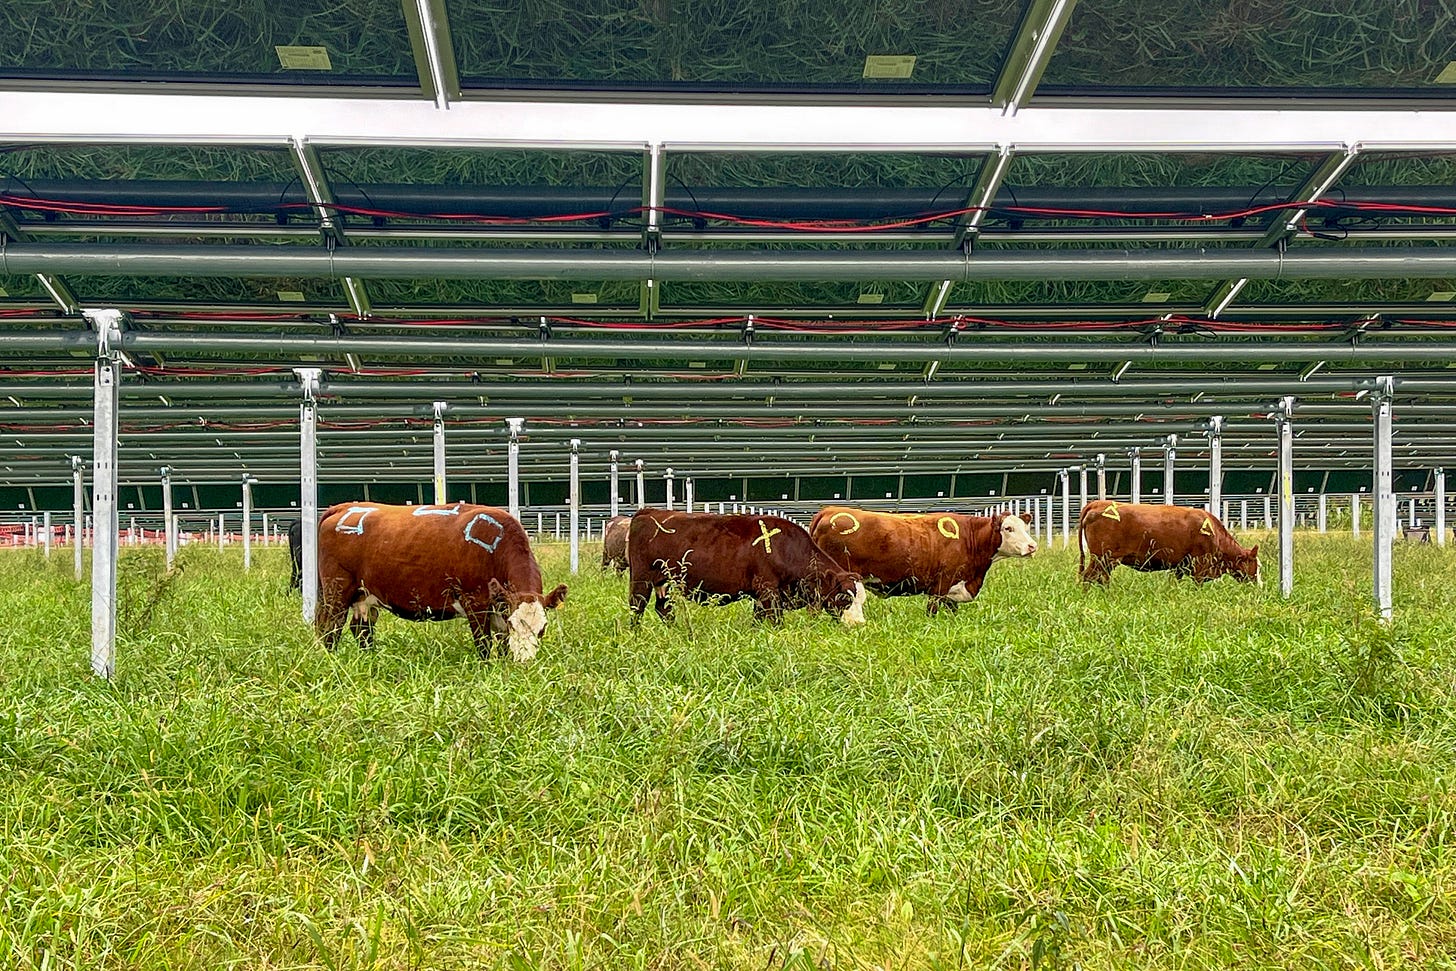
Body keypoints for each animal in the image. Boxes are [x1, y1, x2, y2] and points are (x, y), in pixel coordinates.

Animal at [316, 501, 567, 660]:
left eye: (542, 629)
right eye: (515, 624)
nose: (525, 663)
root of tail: (344, 507)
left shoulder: (499, 608)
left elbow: (503, 645)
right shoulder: (475, 602)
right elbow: (484, 645)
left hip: (364, 595)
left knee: (361, 629)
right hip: (336, 591)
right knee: (329, 629)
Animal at [627, 508, 866, 626]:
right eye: (844, 597)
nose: (859, 624)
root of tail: (648, 511)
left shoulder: (762, 597)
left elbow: (758, 621)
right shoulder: (768, 590)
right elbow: (776, 621)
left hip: (664, 582)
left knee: (663, 609)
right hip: (642, 578)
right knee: (637, 607)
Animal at [810, 506, 1037, 615]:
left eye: (1025, 527)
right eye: (1008, 528)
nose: (1032, 546)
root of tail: (829, 510)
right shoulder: (940, 585)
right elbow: (932, 612)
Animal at [1078, 500, 1260, 585]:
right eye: (1256, 565)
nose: (1257, 585)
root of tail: (1098, 503)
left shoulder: (1179, 566)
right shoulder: (1200, 566)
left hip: (1105, 560)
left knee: (1099, 578)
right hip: (1103, 558)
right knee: (1090, 577)